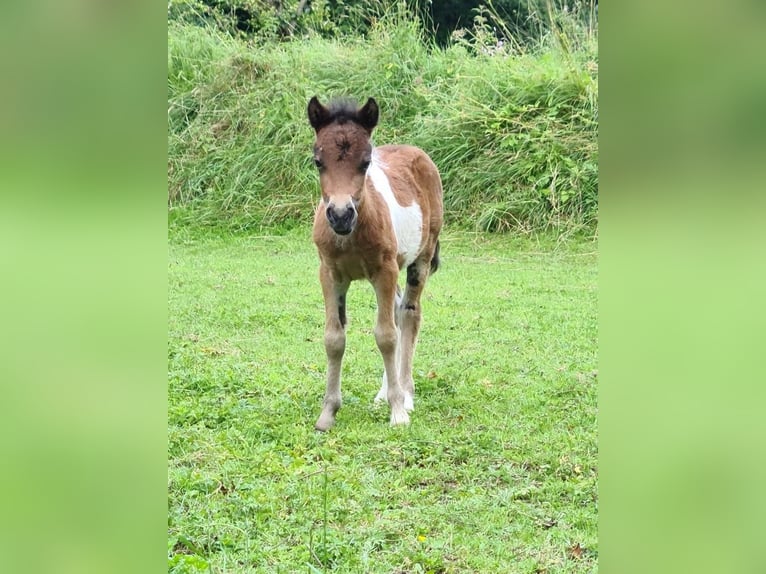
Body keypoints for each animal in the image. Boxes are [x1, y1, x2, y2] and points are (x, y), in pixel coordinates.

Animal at [307, 96, 443, 431]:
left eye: (366, 162)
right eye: (318, 162)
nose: (340, 215)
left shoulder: (385, 270)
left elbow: (386, 336)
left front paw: (398, 412)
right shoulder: (329, 274)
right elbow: (334, 338)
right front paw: (328, 413)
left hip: (418, 260)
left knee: (408, 315)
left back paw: (405, 394)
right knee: (396, 310)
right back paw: (384, 393)